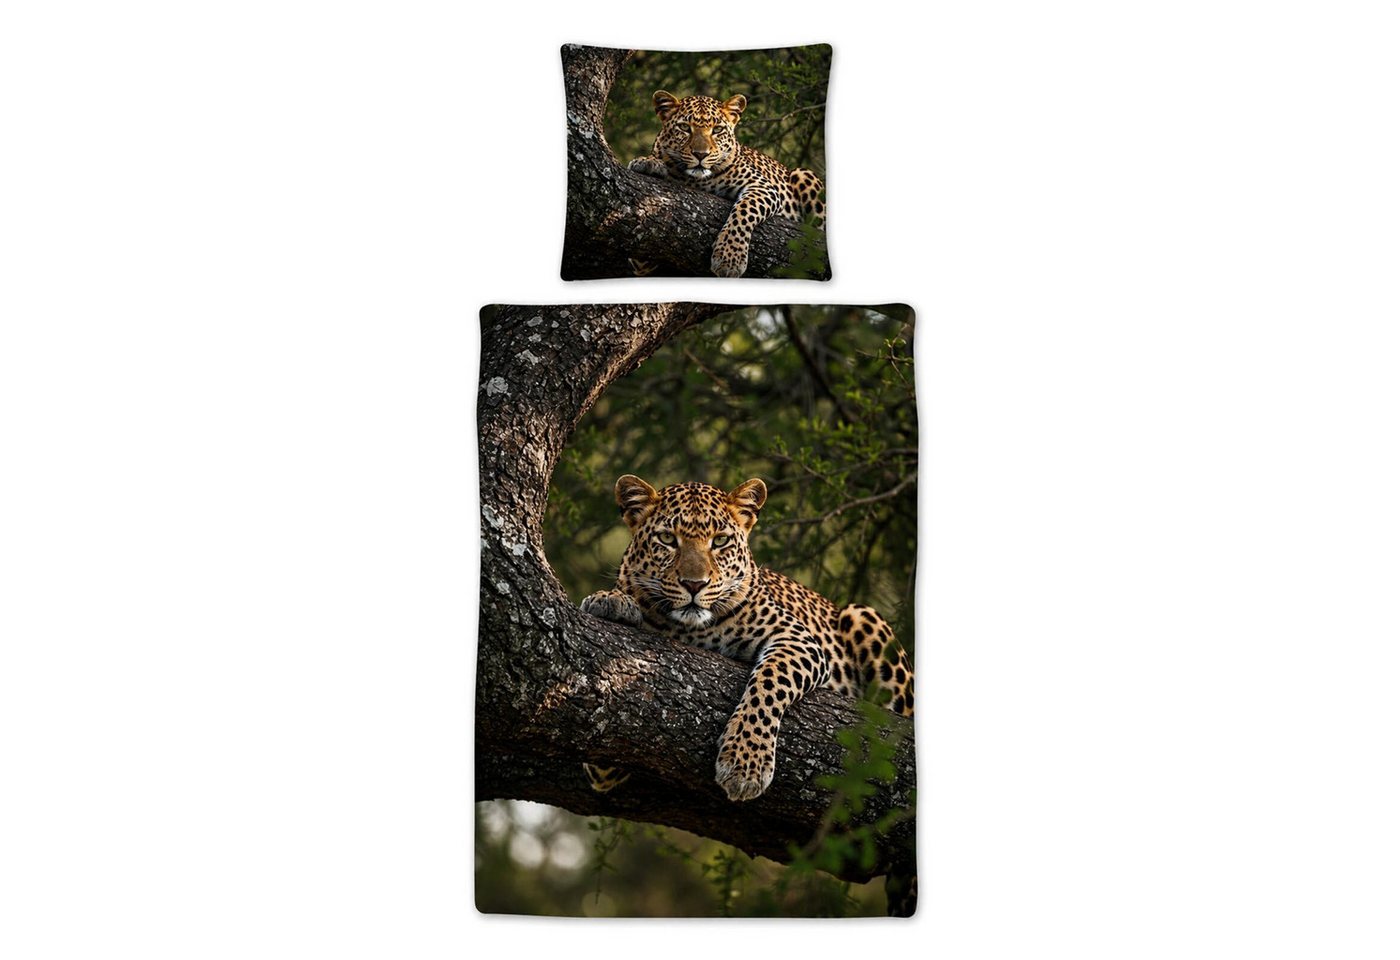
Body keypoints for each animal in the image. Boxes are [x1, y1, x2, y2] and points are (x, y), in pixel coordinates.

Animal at [578, 475, 914, 805]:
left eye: (720, 541)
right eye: (668, 539)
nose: (694, 584)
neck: (690, 629)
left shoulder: (798, 639)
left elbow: (770, 682)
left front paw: (745, 762)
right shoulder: (605, 761)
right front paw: (612, 602)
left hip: (864, 617)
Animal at [626, 91, 826, 278]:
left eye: (717, 130)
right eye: (684, 128)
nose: (701, 154)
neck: (696, 180)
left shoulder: (763, 187)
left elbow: (744, 211)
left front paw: (730, 258)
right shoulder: (642, 263)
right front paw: (649, 163)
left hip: (804, 175)